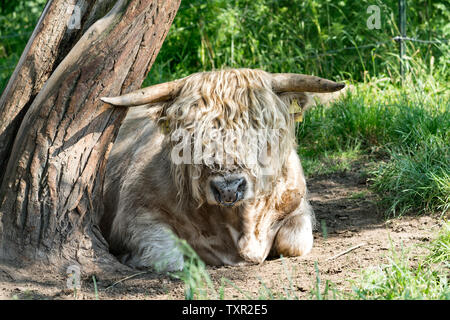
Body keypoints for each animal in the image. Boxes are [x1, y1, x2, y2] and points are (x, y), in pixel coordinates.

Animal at [101, 69, 344, 272]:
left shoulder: (298, 208)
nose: (229, 188)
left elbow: (292, 243)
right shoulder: (135, 216)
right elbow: (169, 259)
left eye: (260, 127)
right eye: (191, 134)